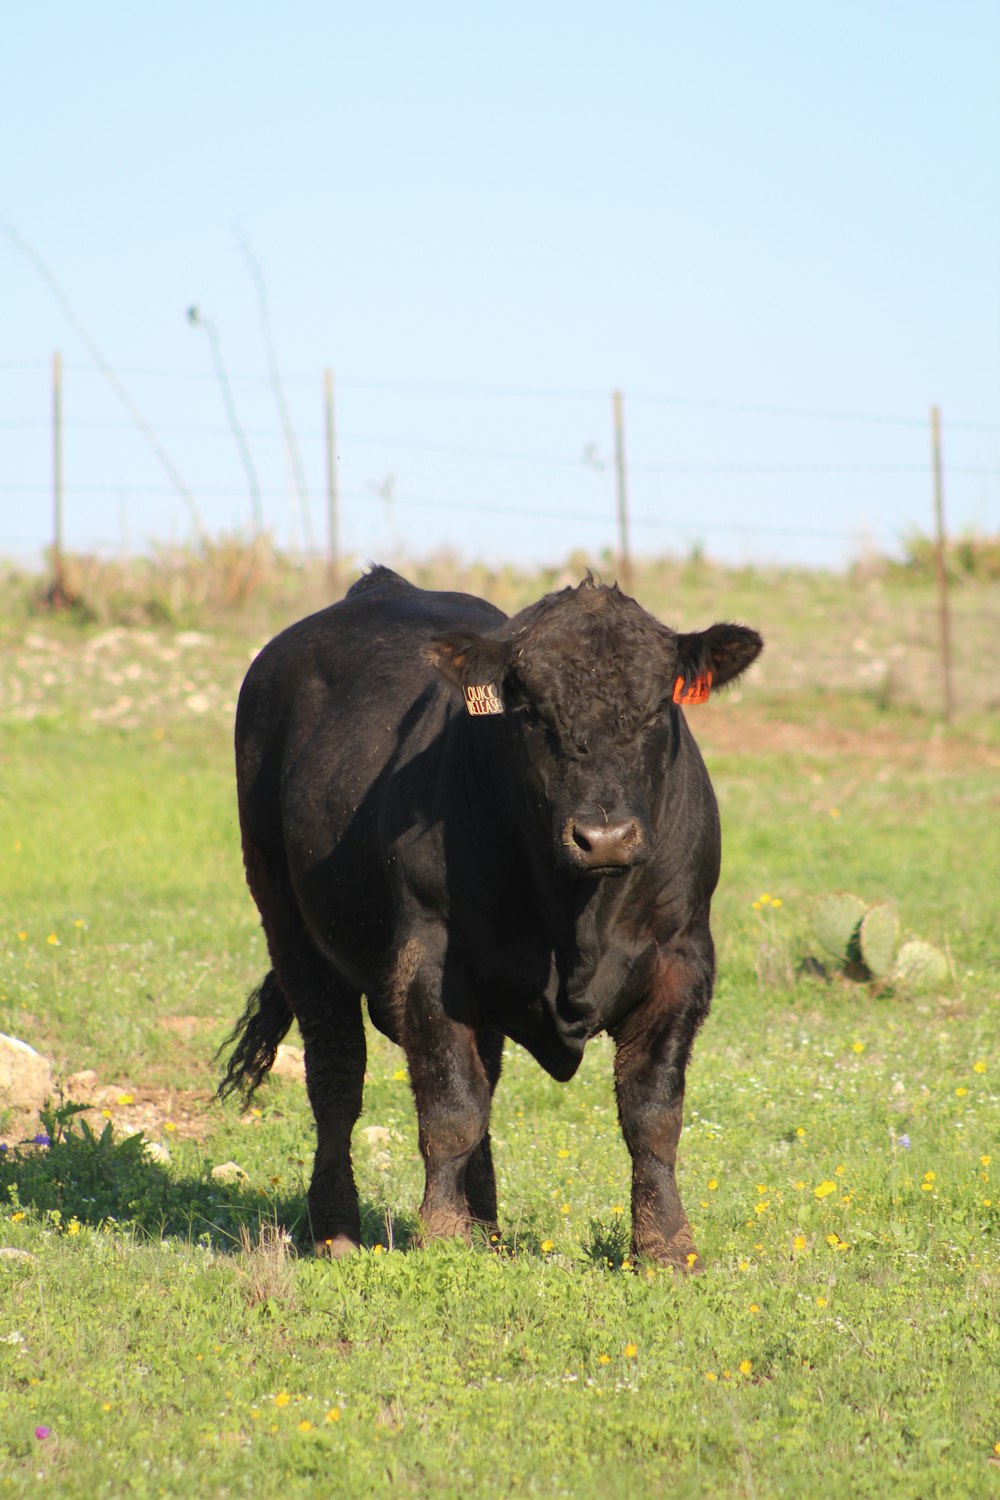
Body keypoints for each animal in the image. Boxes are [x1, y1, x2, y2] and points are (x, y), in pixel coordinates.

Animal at [218, 564, 761, 1266]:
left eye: (656, 708)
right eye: (530, 711)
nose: (603, 837)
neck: (577, 922)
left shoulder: (682, 956)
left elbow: (651, 1113)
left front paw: (666, 1249)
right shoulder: (430, 961)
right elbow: (451, 1108)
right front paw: (442, 1239)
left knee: (487, 1078)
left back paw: (489, 1229)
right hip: (290, 925)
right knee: (337, 1077)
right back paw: (337, 1230)